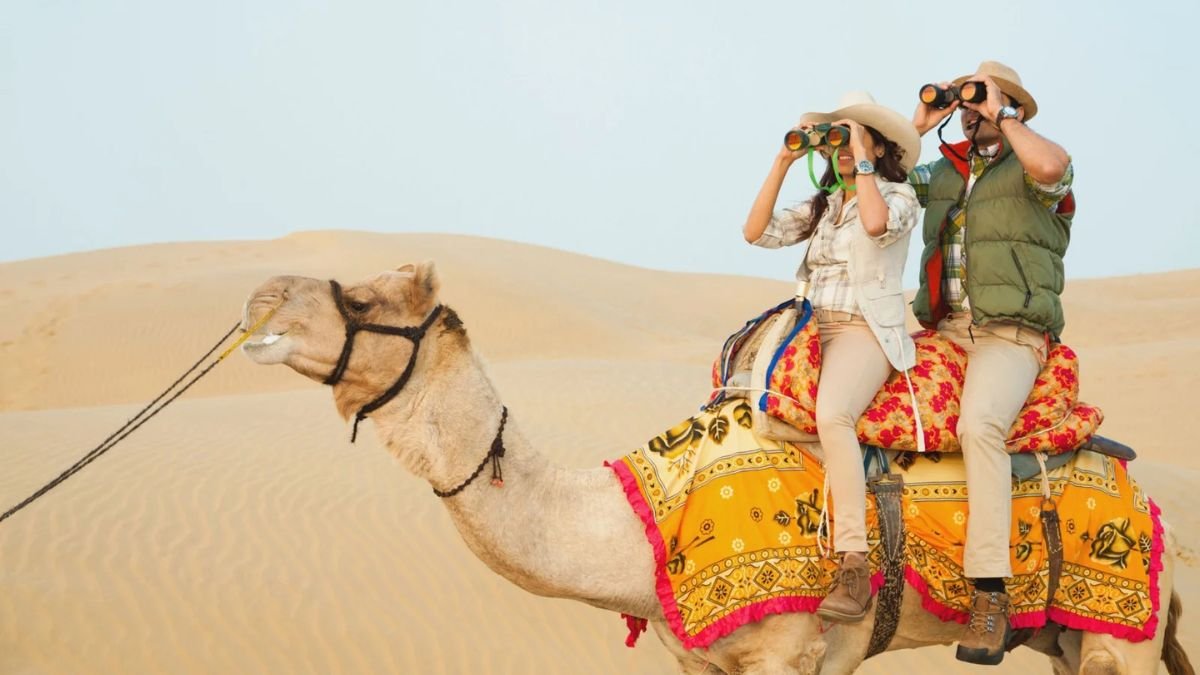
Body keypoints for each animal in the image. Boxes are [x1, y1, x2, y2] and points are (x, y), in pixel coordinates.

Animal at [239, 263, 1193, 675]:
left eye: (360, 297)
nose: (260, 296)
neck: (638, 521)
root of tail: (1151, 508)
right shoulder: (703, 661)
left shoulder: (786, 651)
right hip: (1064, 636)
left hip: (1119, 635)